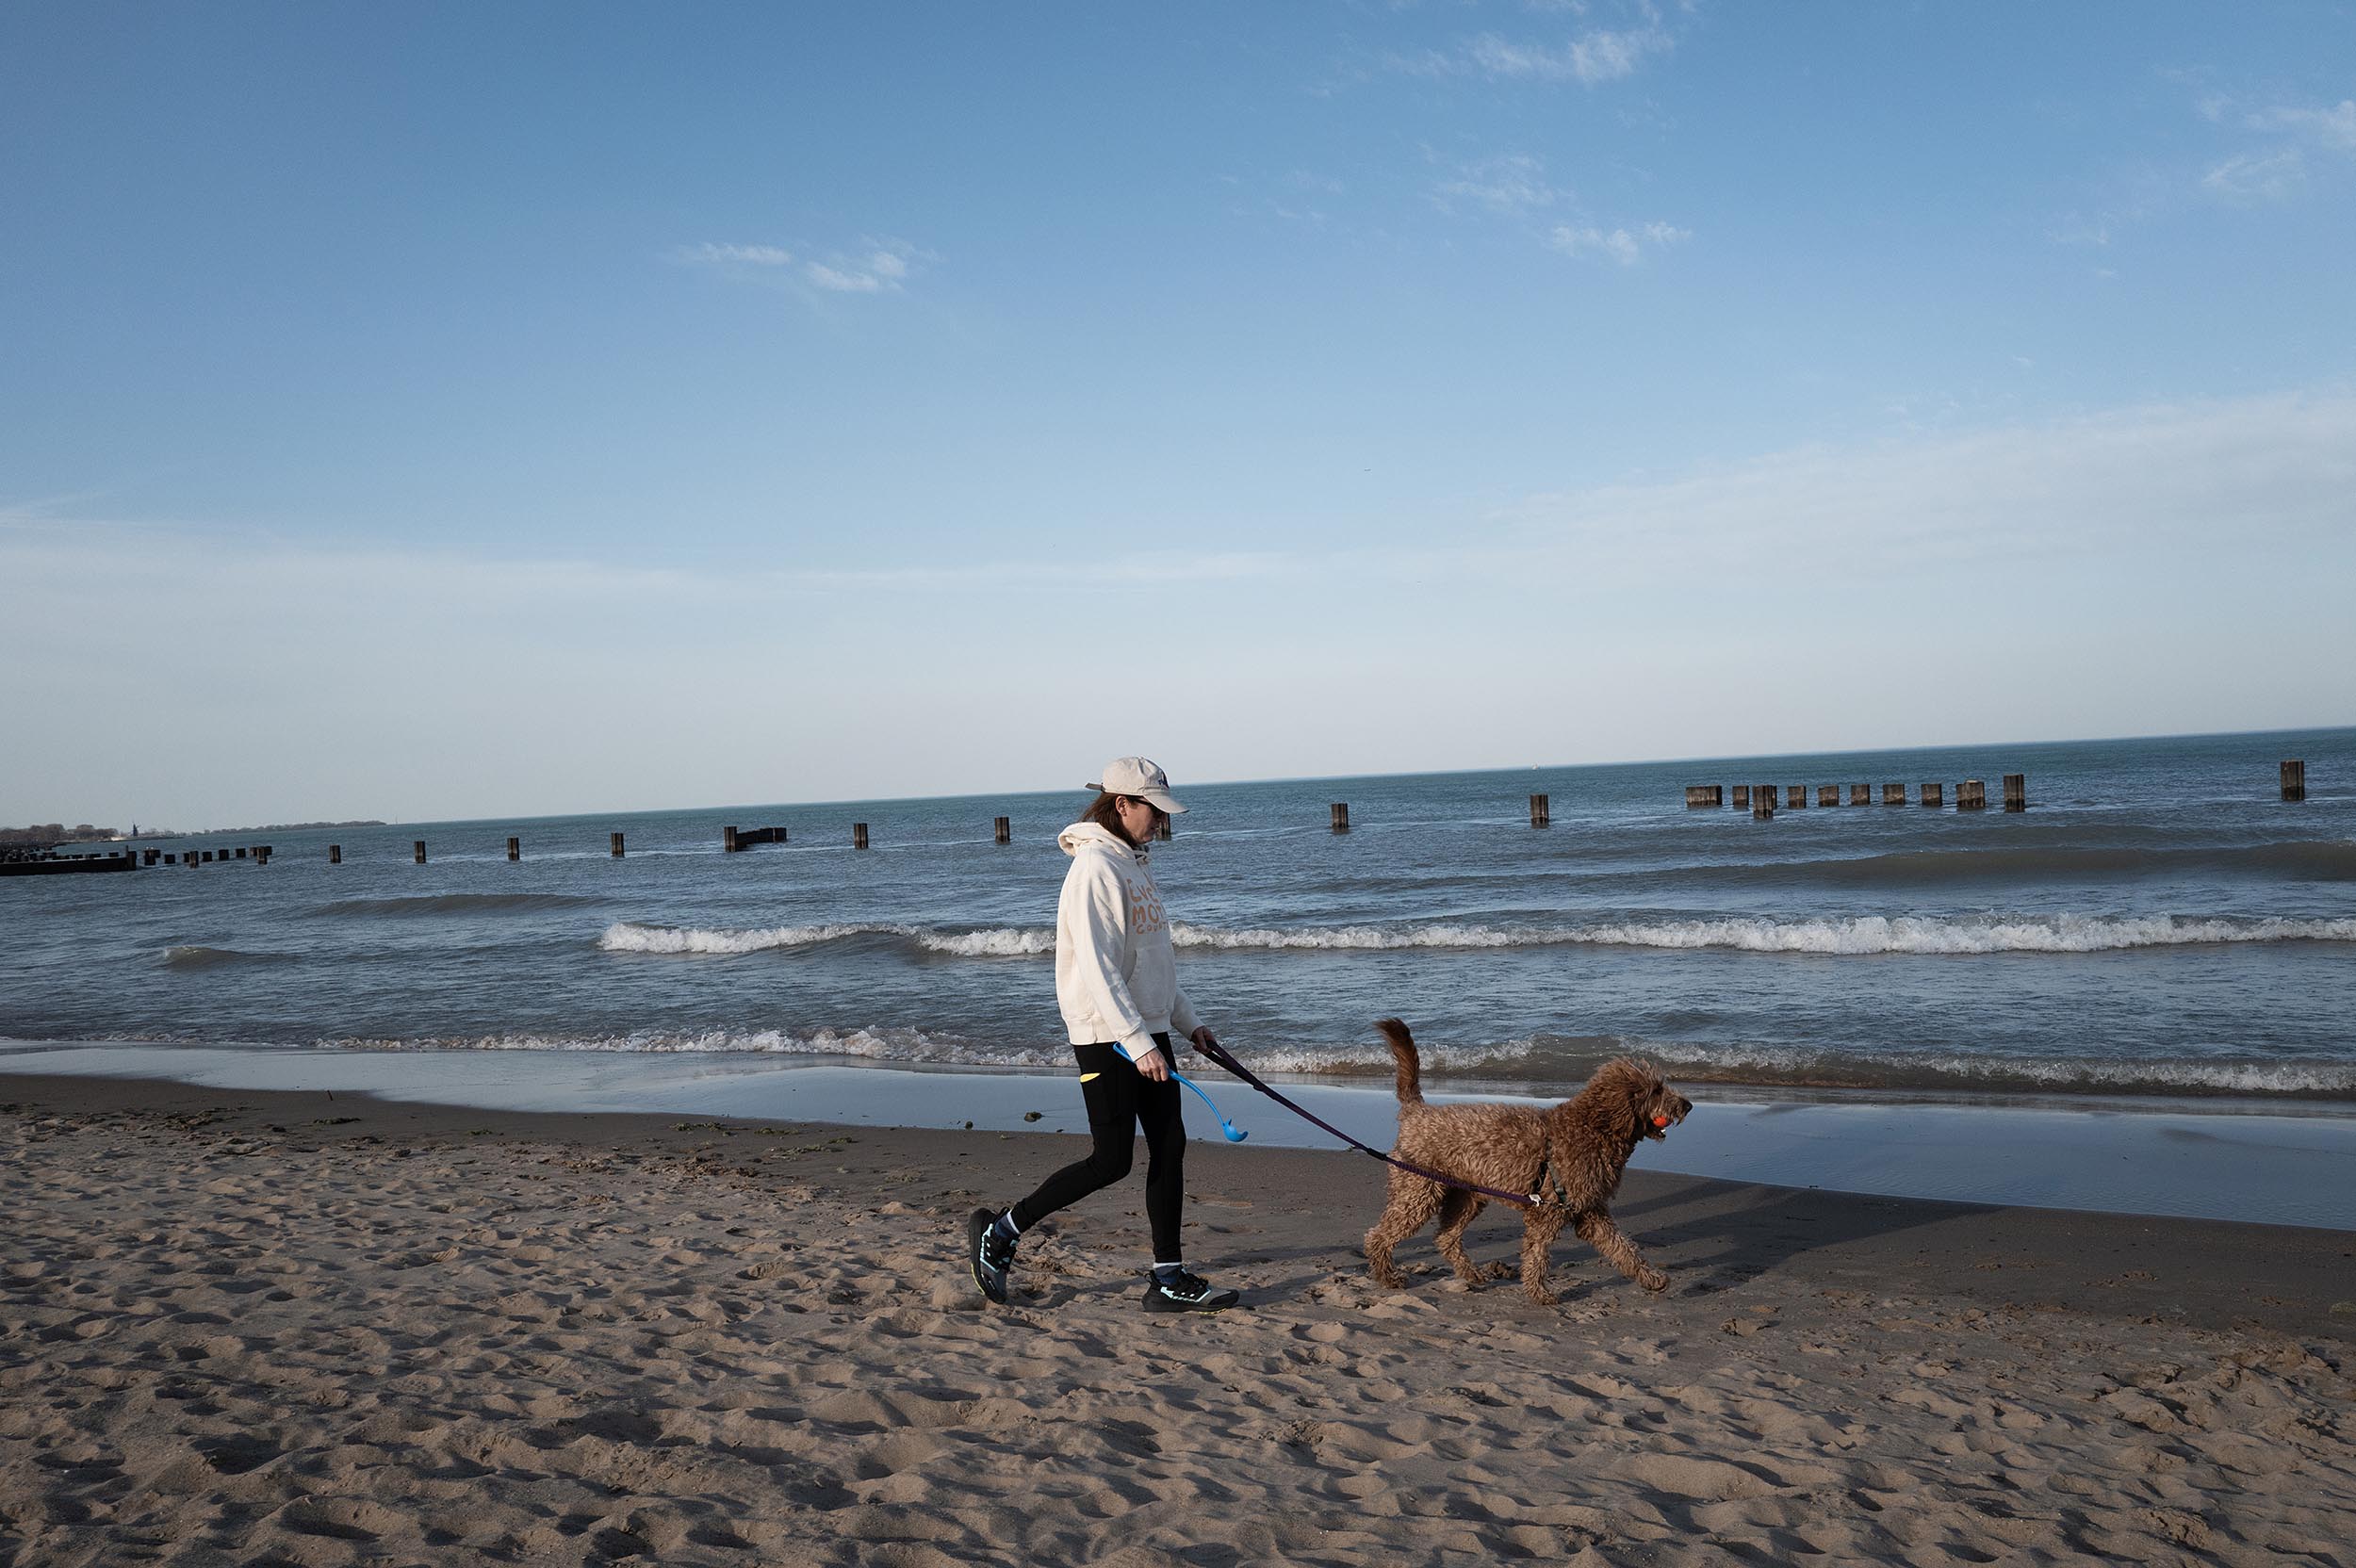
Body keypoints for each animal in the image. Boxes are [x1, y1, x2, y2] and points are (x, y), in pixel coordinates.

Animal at [1366, 1021, 1696, 1299]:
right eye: (1656, 1090)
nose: (1688, 1105)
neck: (1592, 1127)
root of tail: (1417, 1111)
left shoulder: (1590, 1210)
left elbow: (1623, 1248)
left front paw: (1651, 1278)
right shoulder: (1548, 1211)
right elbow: (1537, 1252)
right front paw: (1539, 1293)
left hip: (1466, 1196)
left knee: (1446, 1237)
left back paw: (1471, 1273)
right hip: (1418, 1192)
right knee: (1378, 1235)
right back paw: (1387, 1276)